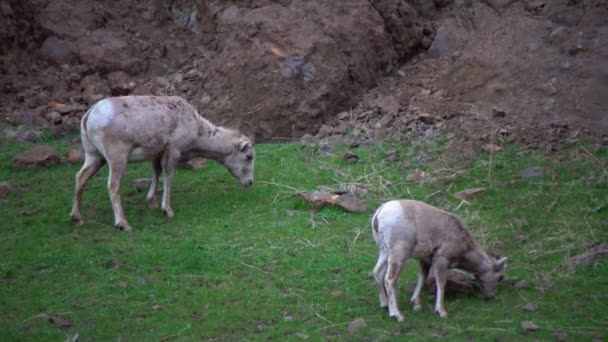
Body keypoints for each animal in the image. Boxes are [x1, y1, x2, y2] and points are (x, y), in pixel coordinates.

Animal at [70, 95, 255, 231]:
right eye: (249, 157)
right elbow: (168, 175)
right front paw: (167, 210)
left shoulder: (157, 152)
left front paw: (151, 201)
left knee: (80, 177)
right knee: (113, 186)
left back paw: (77, 218)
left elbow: (156, 171)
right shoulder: (173, 149)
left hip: (94, 155)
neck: (198, 134)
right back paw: (123, 223)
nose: (250, 182)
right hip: (117, 156)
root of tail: (89, 116)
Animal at [370, 199, 508, 322]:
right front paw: (441, 312)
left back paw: (385, 305)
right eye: (500, 277)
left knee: (377, 273)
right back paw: (397, 315)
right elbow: (441, 283)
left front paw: (416, 304)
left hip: (385, 252)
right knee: (389, 280)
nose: (491, 297)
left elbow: (422, 278)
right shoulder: (441, 260)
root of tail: (380, 213)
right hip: (398, 254)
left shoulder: (425, 261)